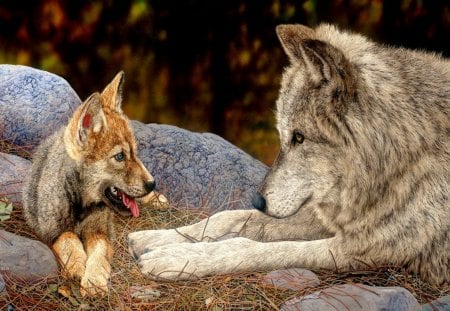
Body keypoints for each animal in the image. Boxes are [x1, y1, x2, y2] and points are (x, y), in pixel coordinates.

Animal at [23, 71, 156, 298]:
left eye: (134, 153)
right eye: (120, 156)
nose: (152, 184)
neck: (81, 207)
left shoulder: (101, 232)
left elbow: (99, 254)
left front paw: (93, 281)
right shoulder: (51, 232)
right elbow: (68, 238)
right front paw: (77, 265)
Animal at [128, 24, 448, 286]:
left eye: (299, 137)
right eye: (284, 135)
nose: (258, 200)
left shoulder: (363, 249)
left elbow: (255, 247)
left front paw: (177, 259)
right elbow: (230, 218)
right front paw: (156, 238)